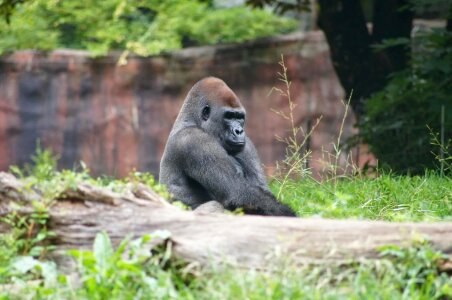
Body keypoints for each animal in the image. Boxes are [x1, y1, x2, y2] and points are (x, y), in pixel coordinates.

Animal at [160, 76, 296, 216]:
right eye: (229, 116)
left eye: (240, 117)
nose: (239, 131)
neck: (193, 121)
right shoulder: (195, 140)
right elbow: (237, 192)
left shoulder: (247, 146)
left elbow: (261, 191)